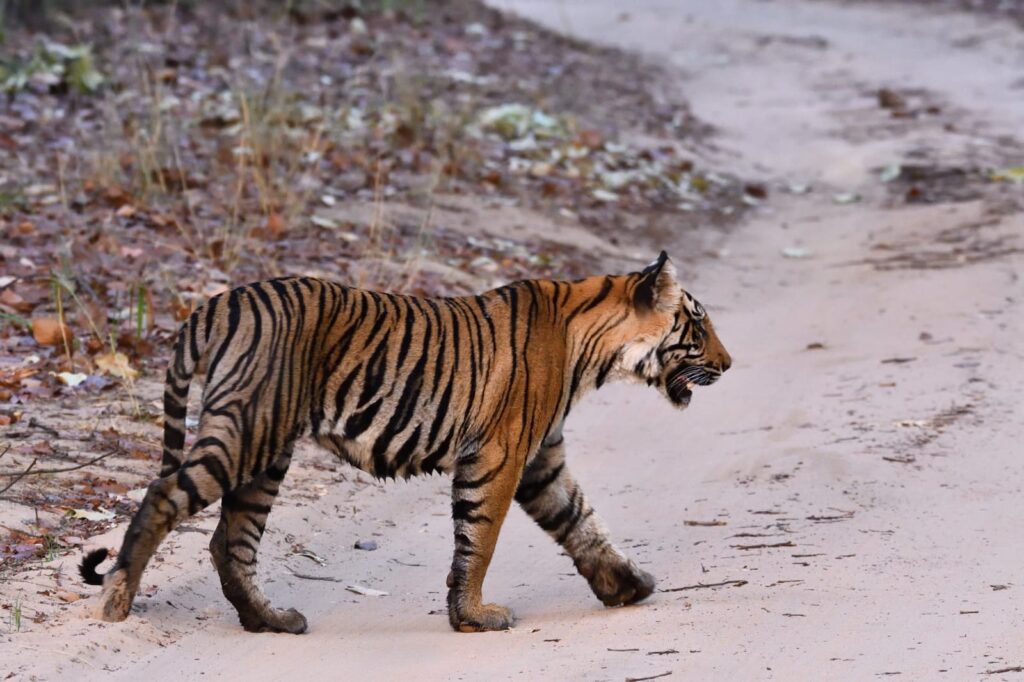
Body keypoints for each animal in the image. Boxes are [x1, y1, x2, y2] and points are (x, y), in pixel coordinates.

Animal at [79, 251, 731, 634]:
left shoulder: (541, 459)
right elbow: (480, 540)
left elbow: (580, 520)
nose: (728, 364)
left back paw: (272, 619)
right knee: (164, 497)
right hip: (246, 431)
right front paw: (474, 616)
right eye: (697, 323)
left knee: (228, 541)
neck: (592, 351)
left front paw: (626, 585)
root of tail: (215, 302)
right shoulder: (499, 455)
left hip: (266, 453)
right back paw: (116, 601)